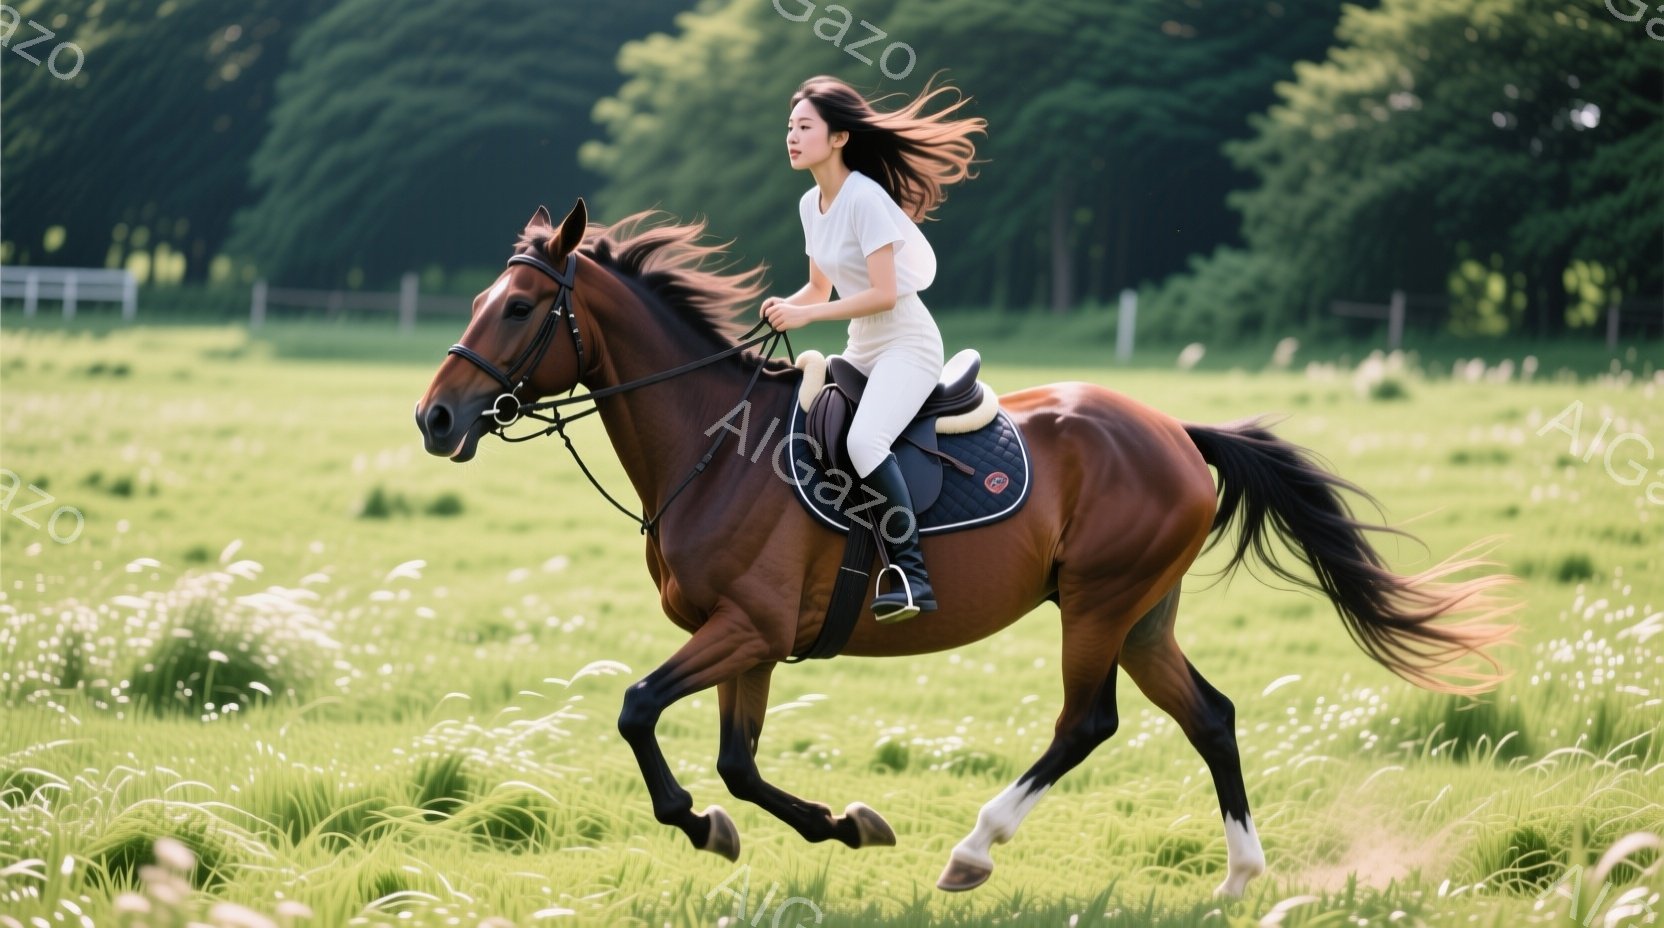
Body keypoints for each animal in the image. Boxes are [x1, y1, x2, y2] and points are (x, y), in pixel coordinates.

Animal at [414, 200, 1517, 898]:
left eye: (519, 308)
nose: (434, 418)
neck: (709, 447)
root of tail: (1174, 429)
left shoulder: (747, 628)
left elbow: (640, 710)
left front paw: (711, 822)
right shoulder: (754, 641)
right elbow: (737, 763)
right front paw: (830, 823)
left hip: (1097, 605)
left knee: (1086, 723)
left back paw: (975, 850)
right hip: (1142, 613)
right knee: (1209, 715)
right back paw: (1241, 874)